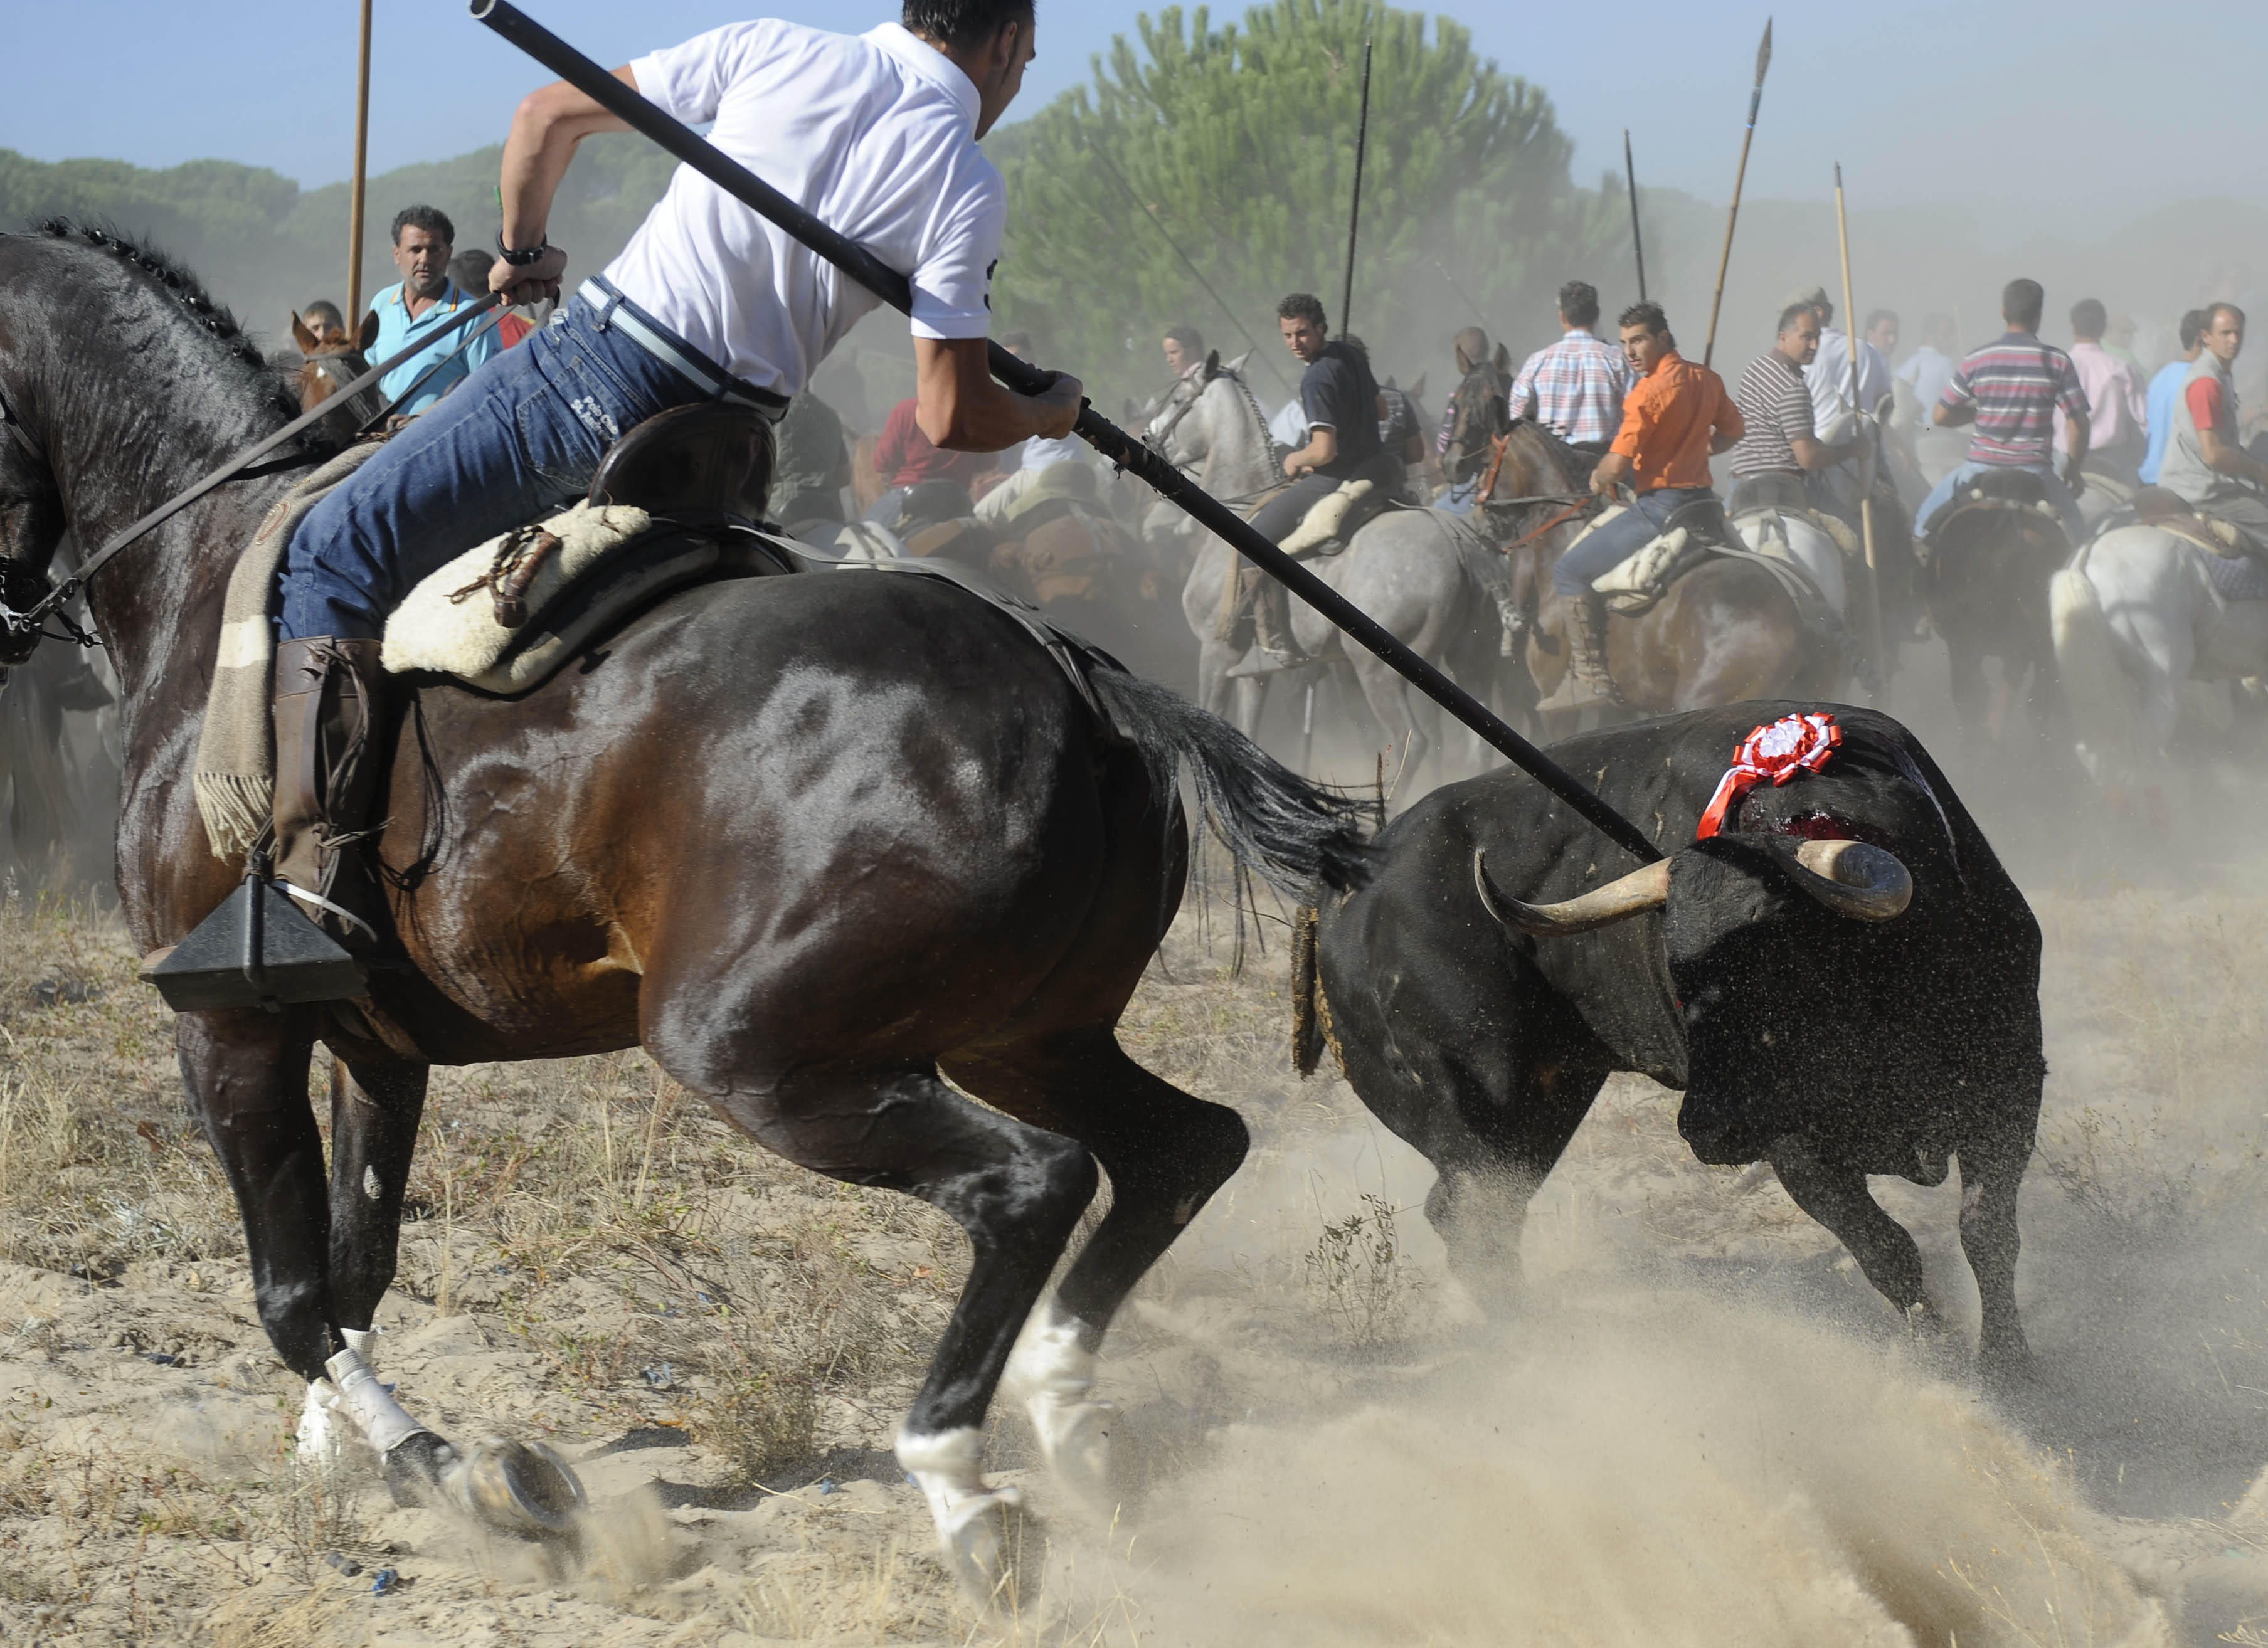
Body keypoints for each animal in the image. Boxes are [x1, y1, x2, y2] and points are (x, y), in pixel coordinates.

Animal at [0, 222, 1360, 1595]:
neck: (207, 567)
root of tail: (1068, 672)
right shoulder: (373, 1047)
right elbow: (354, 1263)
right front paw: (337, 1453)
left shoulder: (229, 1030)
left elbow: (291, 1299)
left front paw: (457, 1474)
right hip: (1019, 1032)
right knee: (1183, 1149)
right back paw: (1066, 1417)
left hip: (755, 1048)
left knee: (1032, 1183)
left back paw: (959, 1479)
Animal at [1161, 353, 1515, 784]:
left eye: (1178, 399)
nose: (1148, 433)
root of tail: (1458, 540)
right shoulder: (1251, 672)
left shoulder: (1218, 654)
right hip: (1473, 661)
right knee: (1475, 747)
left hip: (1380, 672)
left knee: (1415, 742)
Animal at [1306, 702, 2050, 1387]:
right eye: (1677, 971)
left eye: (1780, 960)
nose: (1705, 1128)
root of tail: (1339, 902)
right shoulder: (1793, 1145)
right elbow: (1886, 1250)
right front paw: (1949, 1366)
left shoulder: (2010, 1086)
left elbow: (1987, 1232)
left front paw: (2011, 1367)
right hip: (1481, 1109)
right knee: (1471, 1223)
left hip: (1541, 1110)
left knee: (1478, 1220)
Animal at [1488, 421, 1841, 729]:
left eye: (1488, 462)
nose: (1482, 513)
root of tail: (1804, 619)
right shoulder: (1616, 709)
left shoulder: (1555, 707)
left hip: (1707, 698)